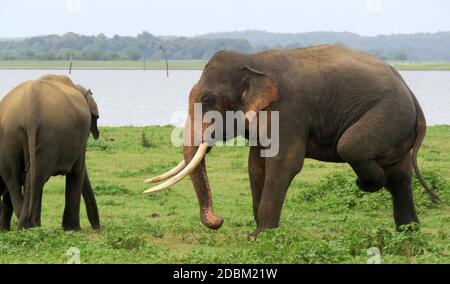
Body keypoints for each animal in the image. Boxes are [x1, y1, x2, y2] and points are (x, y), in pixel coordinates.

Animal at [0, 74, 100, 230]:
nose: (97, 227)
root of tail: (30, 110)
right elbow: (78, 170)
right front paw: (73, 229)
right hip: (48, 138)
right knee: (35, 177)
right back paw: (30, 225)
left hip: (10, 137)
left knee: (16, 178)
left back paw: (27, 225)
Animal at [146, 45, 442, 237]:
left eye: (207, 101)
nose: (219, 220)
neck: (253, 62)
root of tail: (412, 94)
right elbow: (256, 166)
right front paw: (259, 233)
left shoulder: (289, 109)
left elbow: (284, 163)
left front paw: (261, 236)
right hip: (396, 125)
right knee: (400, 174)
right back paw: (408, 232)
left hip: (388, 115)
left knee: (352, 147)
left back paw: (367, 186)